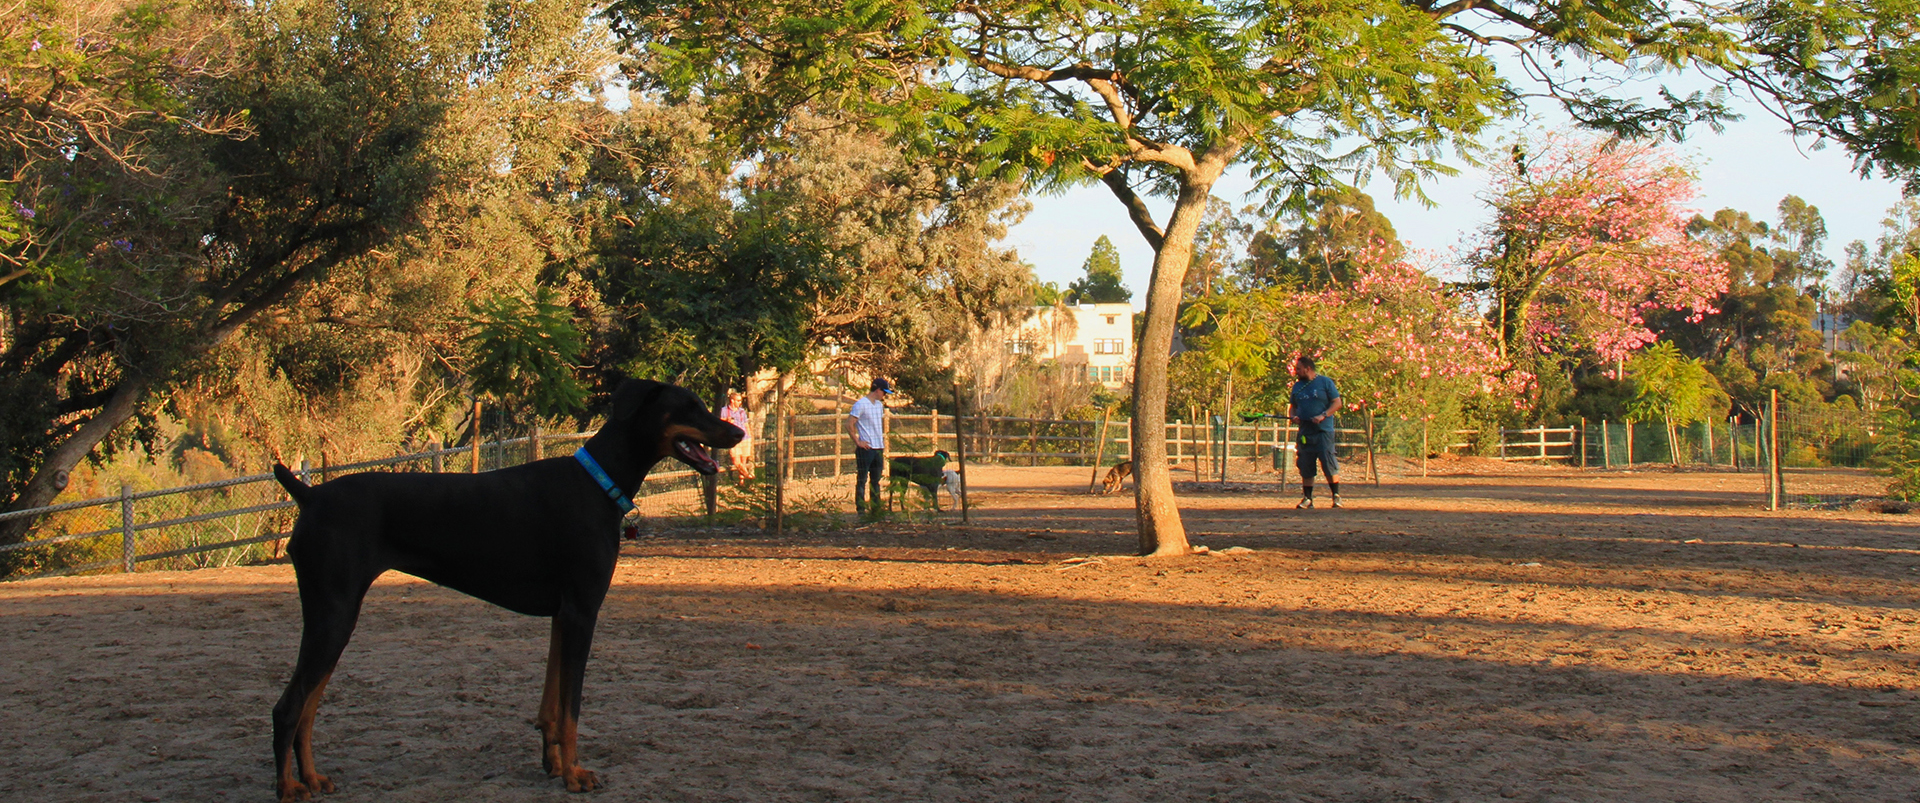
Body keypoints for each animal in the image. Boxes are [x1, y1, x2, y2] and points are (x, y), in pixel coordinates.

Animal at [257, 380, 733, 799]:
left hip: (334, 618)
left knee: (307, 708)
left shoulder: (562, 616)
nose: (739, 432)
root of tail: (310, 494)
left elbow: (552, 706)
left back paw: (313, 779)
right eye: (690, 406)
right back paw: (288, 788)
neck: (599, 481)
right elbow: (572, 708)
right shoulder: (582, 612)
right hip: (334, 614)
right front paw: (575, 775)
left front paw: (553, 764)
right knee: (288, 707)